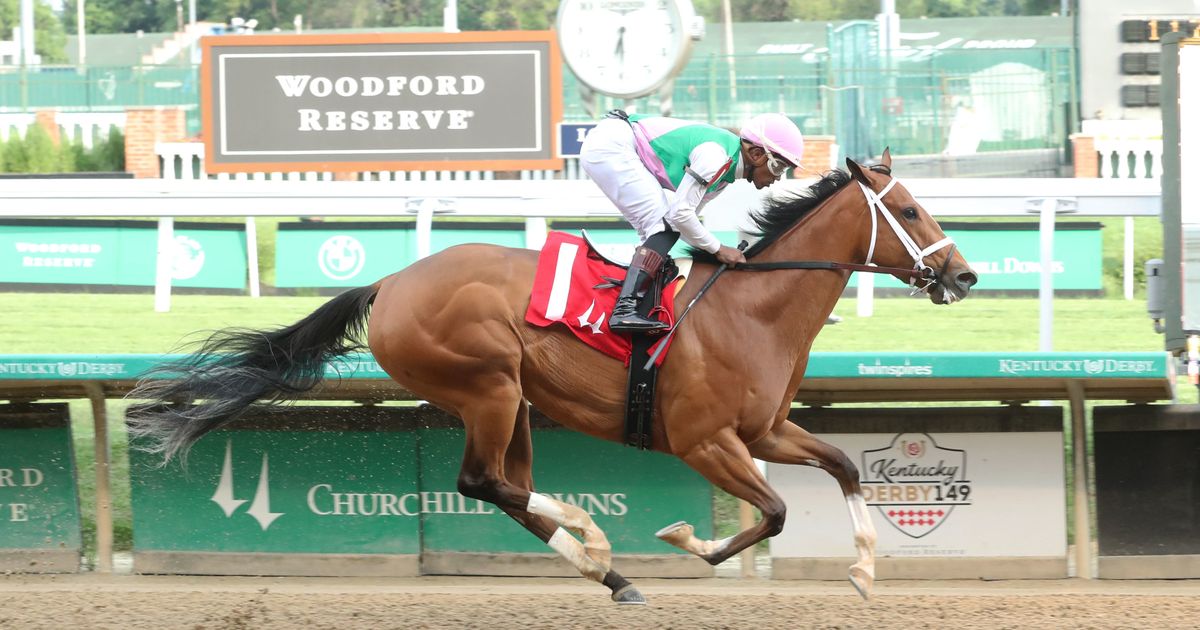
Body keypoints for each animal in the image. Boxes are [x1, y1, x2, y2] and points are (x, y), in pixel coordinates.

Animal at [127, 151, 976, 604]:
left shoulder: (765, 429)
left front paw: (862, 570)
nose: (964, 275)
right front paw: (685, 539)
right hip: (489, 387)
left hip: (516, 404)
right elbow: (772, 512)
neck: (750, 309)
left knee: (505, 489)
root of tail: (392, 281)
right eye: (909, 209)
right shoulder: (704, 442)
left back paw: (607, 569)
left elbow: (839, 467)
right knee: (481, 482)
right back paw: (595, 542)